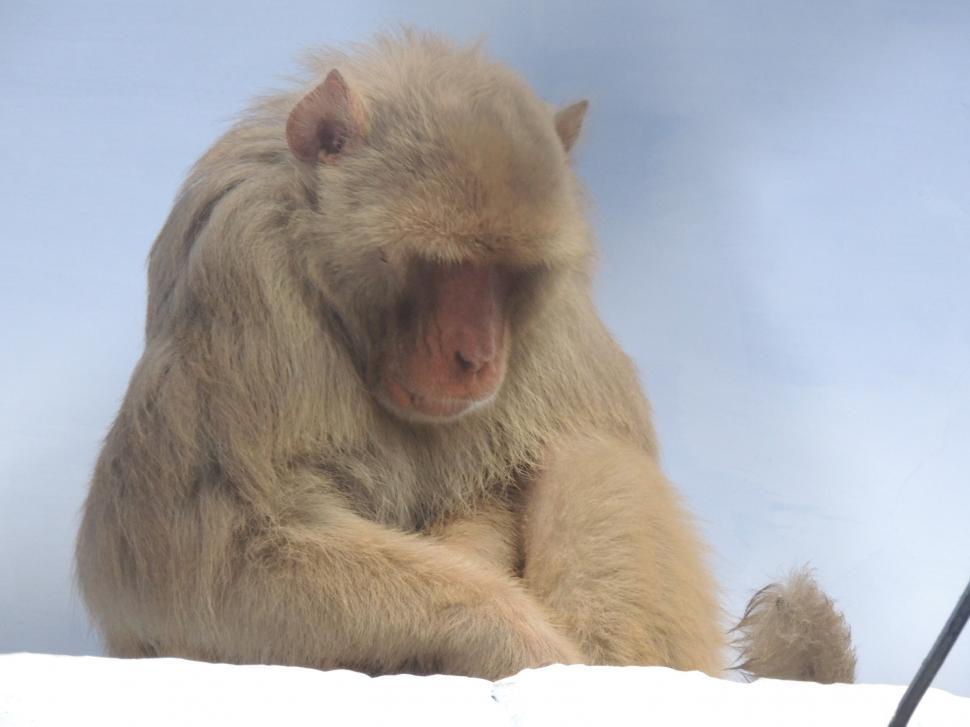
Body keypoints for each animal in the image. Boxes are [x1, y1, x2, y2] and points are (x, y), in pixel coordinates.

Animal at [76, 29, 854, 682]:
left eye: (508, 273)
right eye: (441, 264)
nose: (476, 355)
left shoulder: (553, 329)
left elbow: (521, 476)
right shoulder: (243, 286)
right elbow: (208, 558)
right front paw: (513, 636)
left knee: (584, 454)